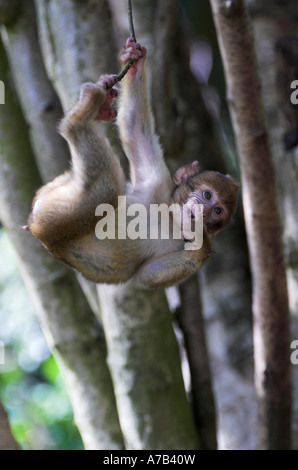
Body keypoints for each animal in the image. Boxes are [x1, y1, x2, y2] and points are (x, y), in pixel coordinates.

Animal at [26, 36, 239, 288]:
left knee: (104, 189)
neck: (168, 216)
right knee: (108, 191)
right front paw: (134, 61)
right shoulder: (157, 183)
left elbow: (148, 275)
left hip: (52, 215)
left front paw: (201, 238)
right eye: (207, 195)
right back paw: (83, 115)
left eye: (217, 211)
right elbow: (135, 127)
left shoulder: (177, 243)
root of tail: (35, 228)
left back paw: (81, 120)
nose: (204, 212)